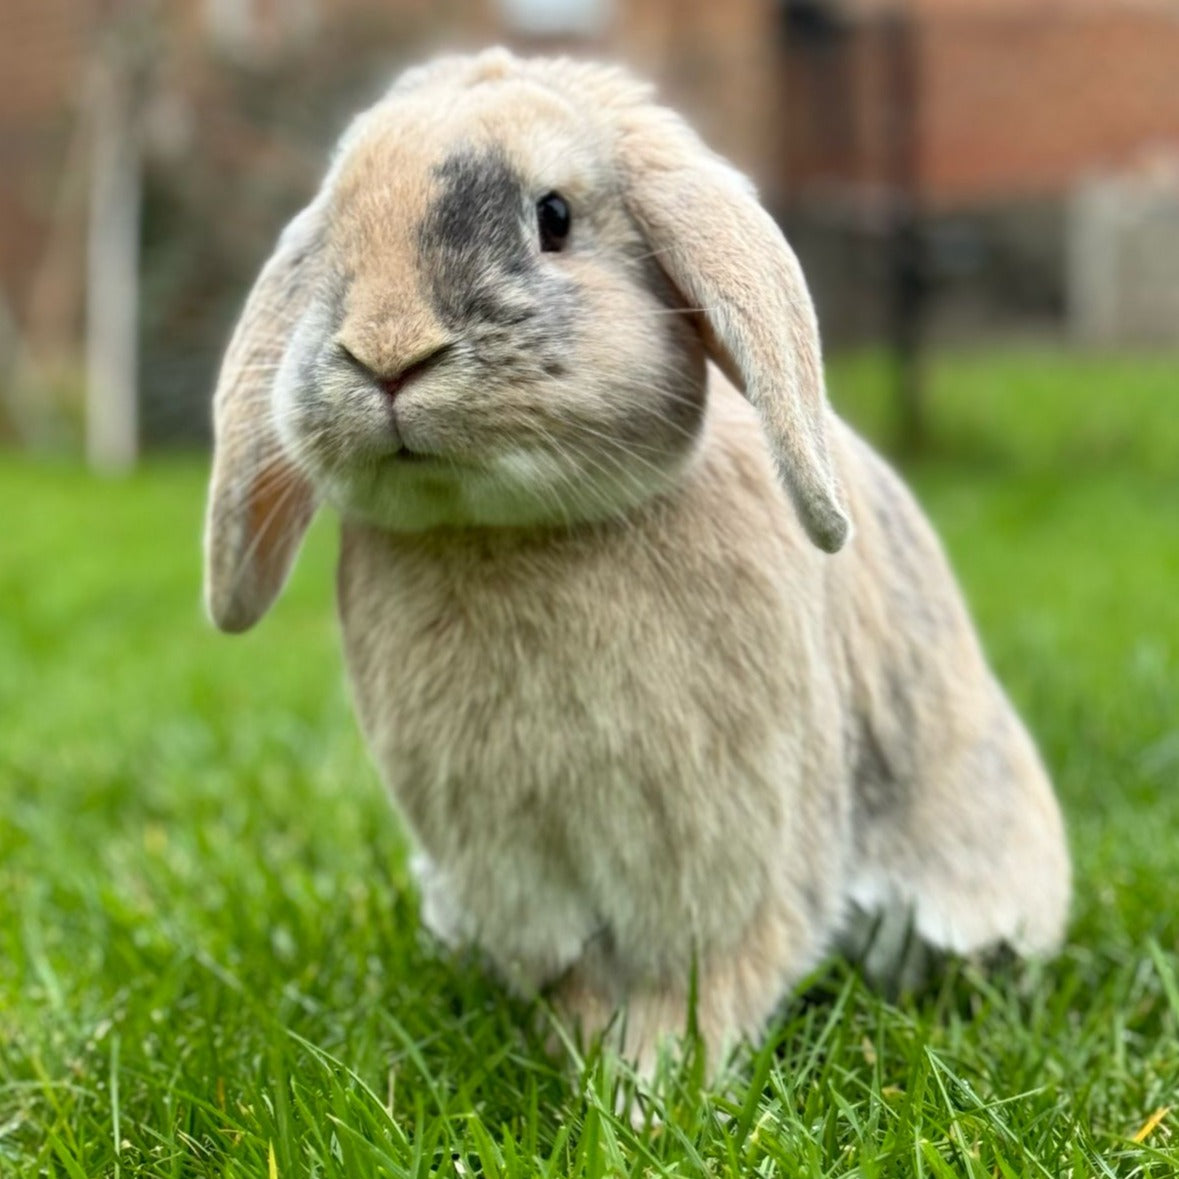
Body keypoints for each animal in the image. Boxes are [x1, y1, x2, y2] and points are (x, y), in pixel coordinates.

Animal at [203, 48, 1070, 1081]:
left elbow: (707, 981)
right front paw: (581, 1060)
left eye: (553, 218)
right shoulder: (519, 871)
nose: (386, 352)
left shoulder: (727, 864)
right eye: (334, 228)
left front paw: (644, 1088)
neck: (505, 531)